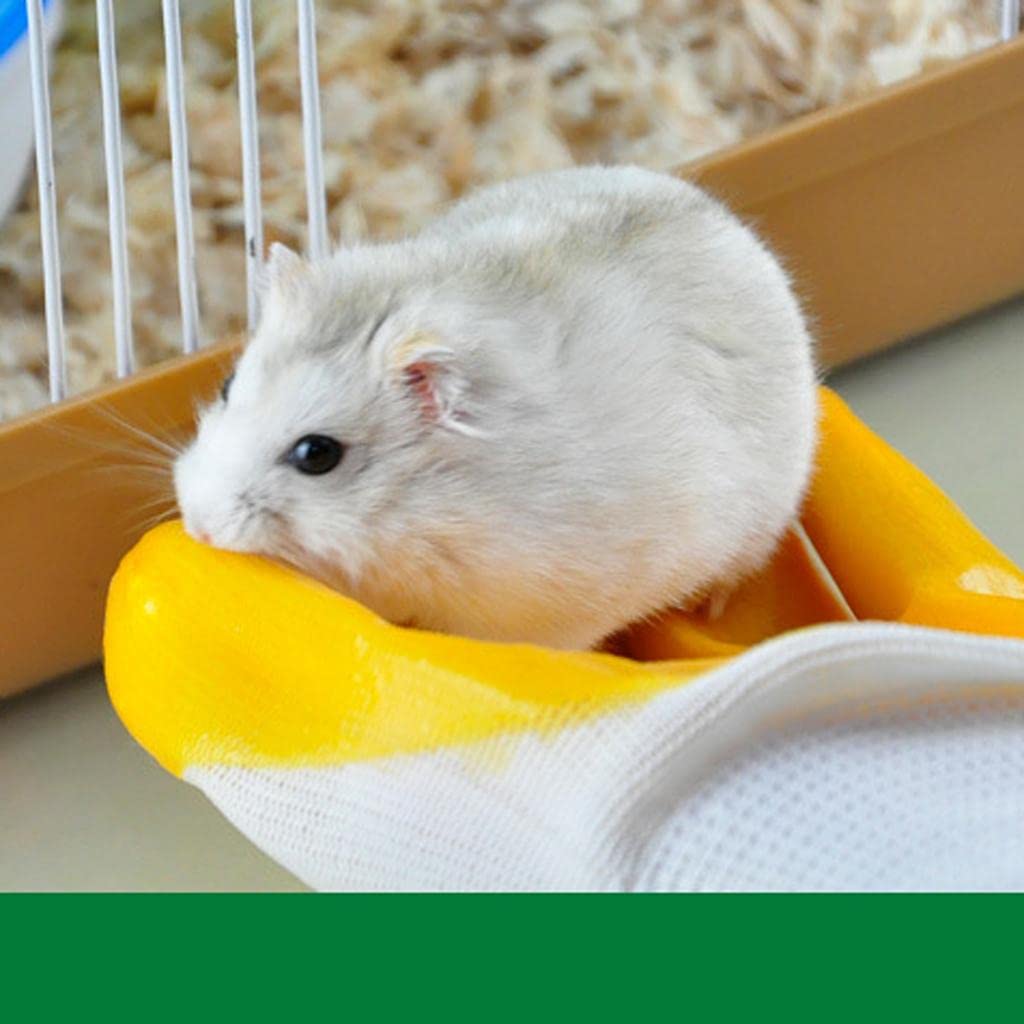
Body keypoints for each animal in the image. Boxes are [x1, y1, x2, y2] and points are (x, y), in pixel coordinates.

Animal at [174, 166, 818, 651]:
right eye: (228, 385)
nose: (197, 525)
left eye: (316, 454)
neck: (424, 509)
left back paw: (713, 607)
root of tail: (724, 218)